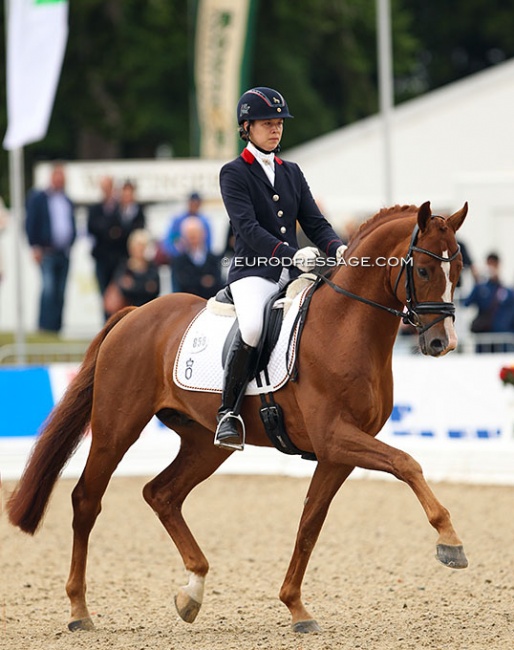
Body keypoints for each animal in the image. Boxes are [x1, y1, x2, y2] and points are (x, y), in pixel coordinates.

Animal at [6, 200, 466, 632]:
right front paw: (450, 541)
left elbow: (310, 523)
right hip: (115, 429)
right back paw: (79, 610)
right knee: (87, 500)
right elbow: (407, 463)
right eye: (424, 269)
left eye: (458, 270)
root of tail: (134, 313)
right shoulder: (335, 436)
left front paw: (296, 608)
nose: (442, 343)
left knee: (162, 494)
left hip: (206, 443)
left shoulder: (337, 453)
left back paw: (191, 592)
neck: (344, 326)